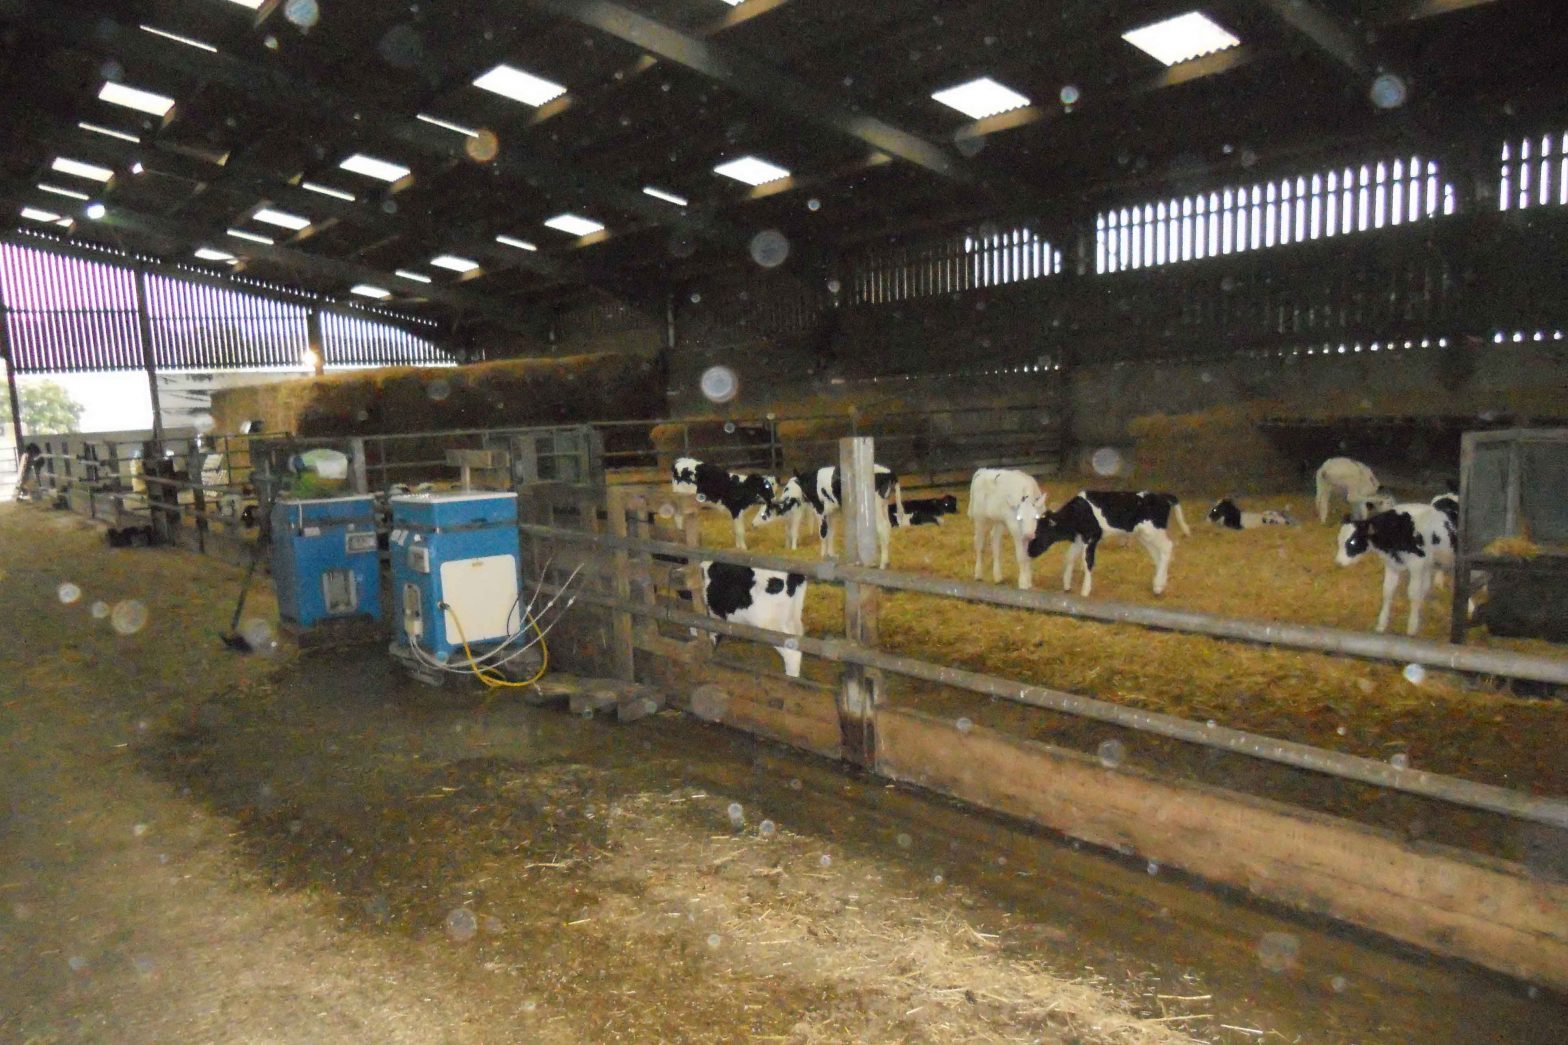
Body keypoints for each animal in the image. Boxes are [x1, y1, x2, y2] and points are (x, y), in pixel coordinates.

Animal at [749, 461, 909, 564]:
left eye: (764, 513)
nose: (752, 524)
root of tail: (889, 472)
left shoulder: (820, 510)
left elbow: (823, 533)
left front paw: (822, 555)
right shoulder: (833, 512)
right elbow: (831, 533)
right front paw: (831, 554)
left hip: (874, 506)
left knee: (882, 528)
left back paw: (882, 564)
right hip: (884, 504)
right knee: (887, 526)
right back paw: (886, 561)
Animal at [1028, 489, 1185, 593]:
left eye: (1039, 532)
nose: (1029, 552)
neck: (1077, 513)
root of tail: (1161, 496)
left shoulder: (1092, 536)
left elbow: (1087, 561)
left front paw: (1085, 590)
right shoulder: (1080, 538)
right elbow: (1069, 557)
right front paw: (1067, 585)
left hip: (1154, 531)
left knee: (1168, 547)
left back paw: (1158, 585)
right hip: (1145, 536)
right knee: (1158, 556)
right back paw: (1160, 583)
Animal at [1335, 502, 1455, 630]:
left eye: (1352, 542)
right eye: (1338, 540)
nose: (1338, 563)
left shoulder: (1416, 566)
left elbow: (1413, 594)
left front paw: (1412, 625)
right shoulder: (1391, 565)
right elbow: (1387, 591)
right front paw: (1382, 624)